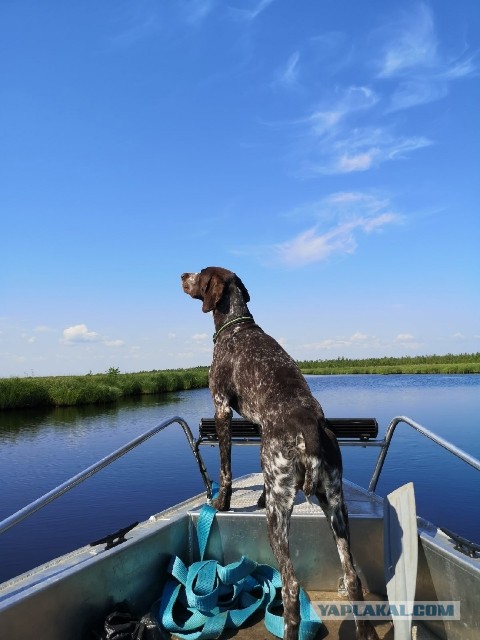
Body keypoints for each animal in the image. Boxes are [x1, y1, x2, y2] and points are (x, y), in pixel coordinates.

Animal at [180, 266, 378, 640]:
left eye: (199, 273)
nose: (182, 275)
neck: (237, 325)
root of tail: (311, 430)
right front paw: (253, 497)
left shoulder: (221, 408)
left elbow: (225, 468)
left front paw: (221, 503)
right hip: (335, 503)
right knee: (352, 577)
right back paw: (365, 631)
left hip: (279, 515)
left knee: (290, 586)